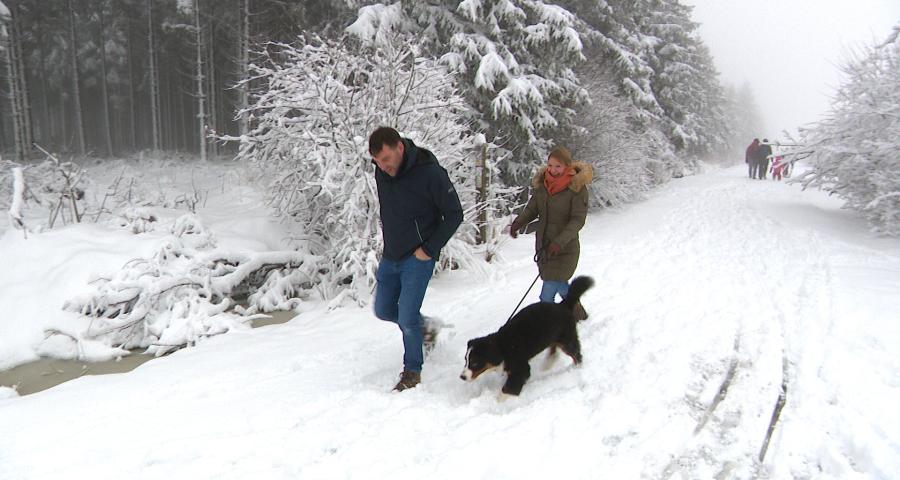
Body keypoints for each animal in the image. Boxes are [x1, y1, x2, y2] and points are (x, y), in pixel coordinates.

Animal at [460, 276, 596, 396]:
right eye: (466, 360)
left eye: (475, 362)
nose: (462, 377)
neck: (502, 347)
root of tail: (562, 304)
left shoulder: (521, 367)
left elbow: (508, 389)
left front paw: (498, 402)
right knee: (554, 348)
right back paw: (548, 364)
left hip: (567, 339)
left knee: (576, 354)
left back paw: (577, 368)